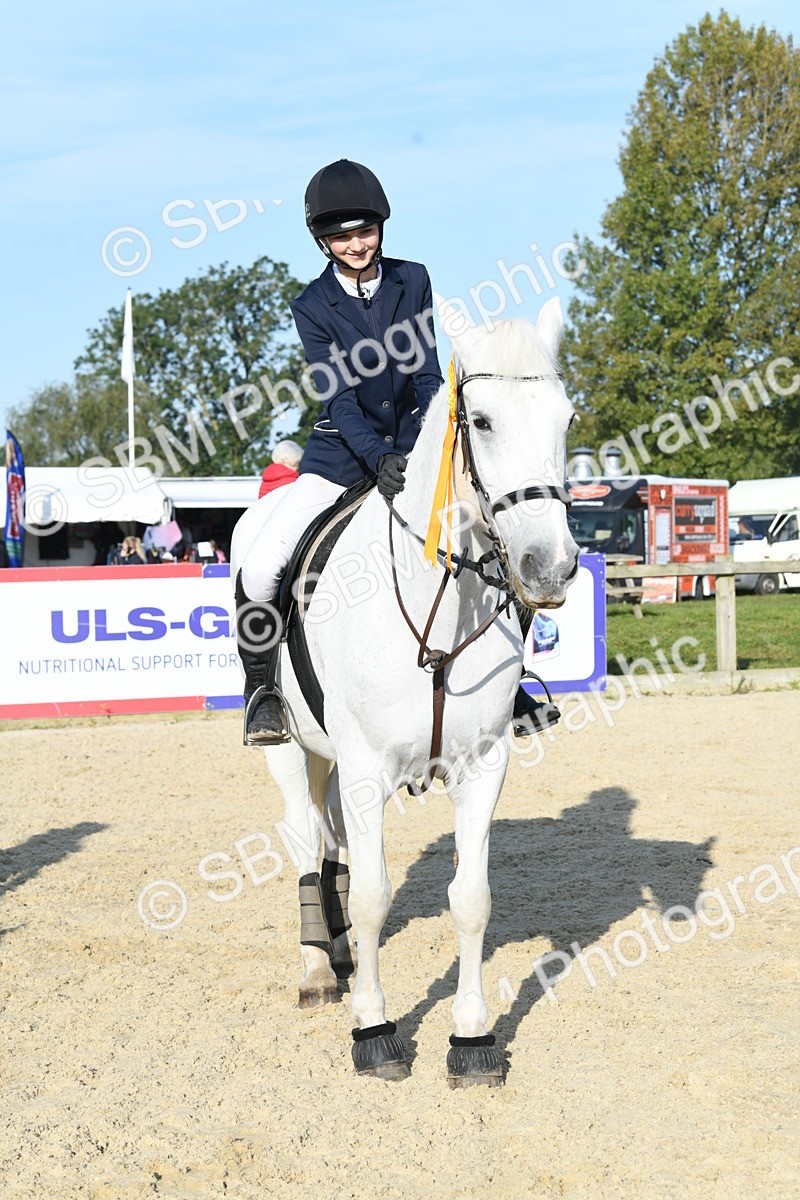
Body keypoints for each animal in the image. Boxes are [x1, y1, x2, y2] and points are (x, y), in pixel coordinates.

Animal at [230, 296, 579, 1086]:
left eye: (567, 419)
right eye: (480, 420)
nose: (551, 567)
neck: (435, 598)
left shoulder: (482, 765)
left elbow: (471, 899)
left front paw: (473, 1038)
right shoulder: (366, 771)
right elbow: (371, 896)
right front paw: (373, 1028)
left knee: (329, 840)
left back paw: (334, 956)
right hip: (290, 747)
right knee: (306, 839)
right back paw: (318, 971)